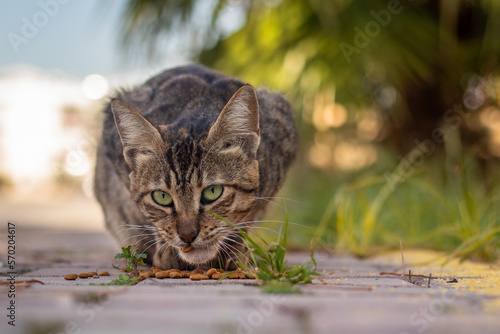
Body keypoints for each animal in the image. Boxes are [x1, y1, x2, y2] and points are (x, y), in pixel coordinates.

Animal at [94, 64, 296, 270]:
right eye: (161, 197)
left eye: (213, 191)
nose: (187, 235)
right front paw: (167, 252)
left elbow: (248, 215)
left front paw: (235, 251)